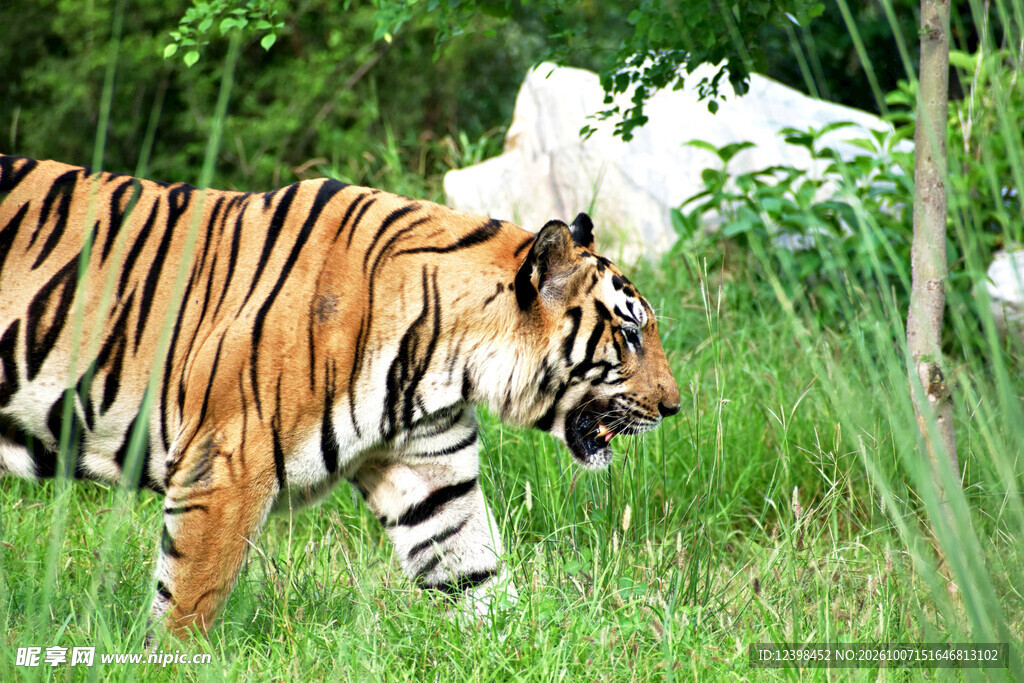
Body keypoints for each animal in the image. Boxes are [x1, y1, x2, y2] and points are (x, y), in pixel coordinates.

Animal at [0, 154, 680, 638]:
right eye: (628, 332)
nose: (674, 407)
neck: (446, 357)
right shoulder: (226, 465)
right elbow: (190, 595)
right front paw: (169, 663)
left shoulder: (430, 472)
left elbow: (474, 572)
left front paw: (518, 649)